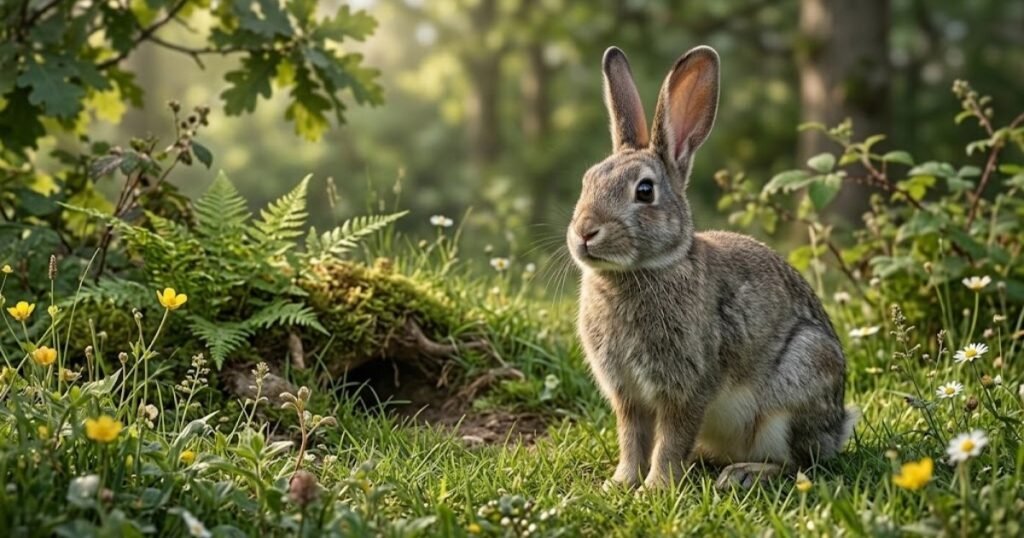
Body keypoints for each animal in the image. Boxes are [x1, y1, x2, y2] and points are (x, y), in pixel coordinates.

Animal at [567, 45, 858, 490]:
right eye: (587, 181)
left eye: (645, 191)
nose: (584, 232)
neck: (639, 272)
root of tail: (837, 426)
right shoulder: (628, 395)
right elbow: (632, 438)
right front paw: (620, 483)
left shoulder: (688, 387)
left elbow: (670, 439)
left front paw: (654, 488)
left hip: (797, 383)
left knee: (797, 463)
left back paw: (742, 474)